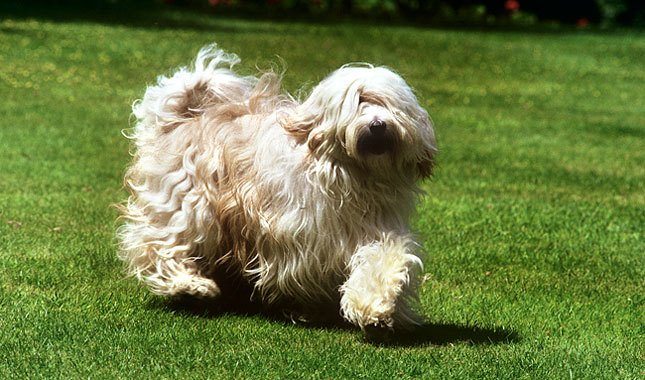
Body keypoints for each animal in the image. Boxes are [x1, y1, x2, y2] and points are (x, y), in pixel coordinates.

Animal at [117, 43, 436, 332]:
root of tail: (184, 114)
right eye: (359, 101)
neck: (354, 177)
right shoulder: (299, 234)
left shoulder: (378, 227)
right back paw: (189, 285)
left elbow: (383, 258)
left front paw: (376, 307)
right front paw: (309, 307)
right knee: (160, 244)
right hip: (186, 205)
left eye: (389, 105)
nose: (378, 125)